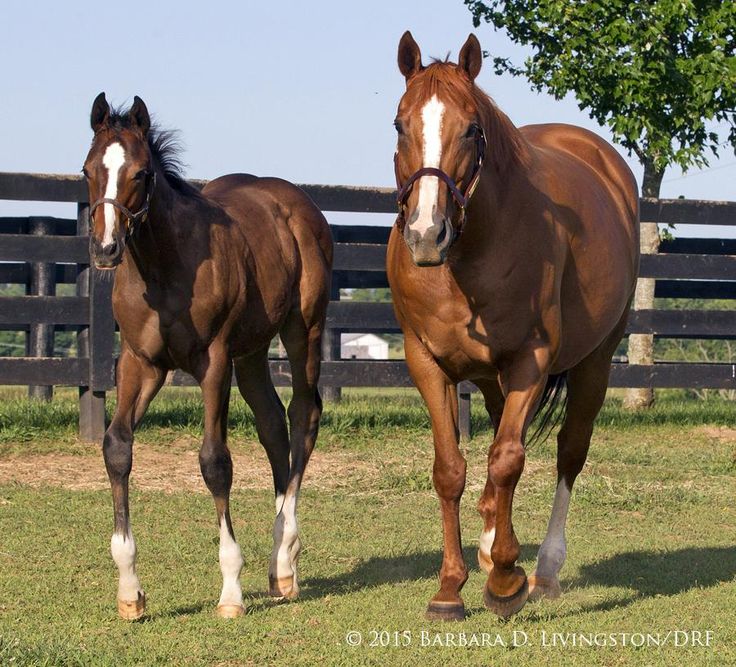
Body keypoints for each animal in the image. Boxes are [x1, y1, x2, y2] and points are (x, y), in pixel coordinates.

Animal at [82, 94, 330, 620]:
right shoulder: (139, 363)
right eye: (88, 169)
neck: (164, 268)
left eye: (141, 174)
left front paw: (231, 590)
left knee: (304, 414)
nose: (106, 248)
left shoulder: (213, 362)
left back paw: (286, 554)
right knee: (273, 424)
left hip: (303, 331)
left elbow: (215, 461)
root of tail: (295, 203)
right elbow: (116, 447)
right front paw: (130, 592)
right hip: (252, 351)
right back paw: (279, 567)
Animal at [392, 34, 640, 620]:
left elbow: (506, 460)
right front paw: (450, 587)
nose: (426, 234)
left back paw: (543, 570)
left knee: (569, 451)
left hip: (594, 362)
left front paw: (506, 581)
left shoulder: (531, 360)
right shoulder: (425, 361)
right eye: (399, 125)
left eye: (472, 129)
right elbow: (450, 469)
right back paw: (488, 547)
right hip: (489, 378)